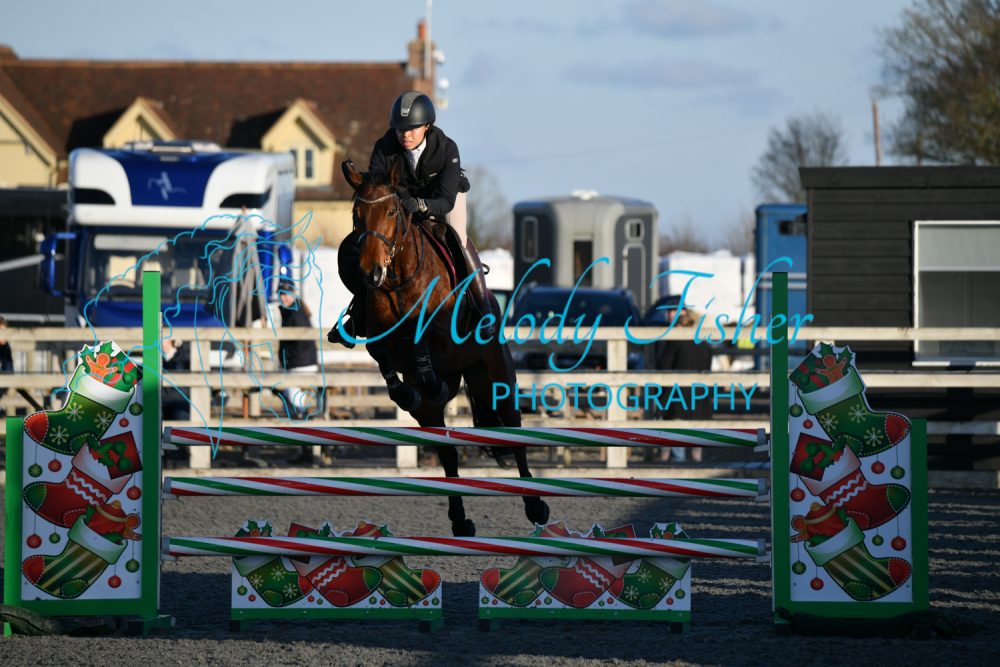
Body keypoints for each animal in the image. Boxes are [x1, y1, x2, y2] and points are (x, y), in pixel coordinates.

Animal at [338, 158, 549, 537]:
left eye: (392, 211)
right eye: (355, 214)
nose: (370, 274)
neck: (397, 280)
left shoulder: (441, 330)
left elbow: (422, 335)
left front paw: (425, 377)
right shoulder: (376, 335)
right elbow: (383, 355)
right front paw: (406, 391)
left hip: (496, 377)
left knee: (512, 428)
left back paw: (536, 506)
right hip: (433, 411)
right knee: (447, 450)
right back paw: (460, 520)